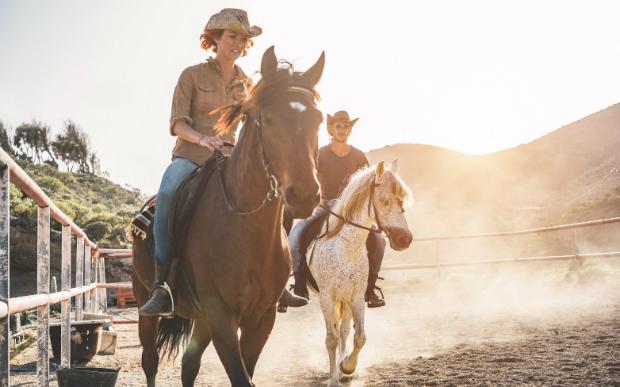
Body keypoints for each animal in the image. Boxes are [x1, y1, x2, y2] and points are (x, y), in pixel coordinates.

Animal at [131, 47, 324, 386]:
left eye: (318, 120)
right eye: (268, 119)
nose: (304, 194)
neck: (242, 224)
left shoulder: (261, 318)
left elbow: (245, 373)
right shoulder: (220, 315)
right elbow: (241, 377)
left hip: (202, 320)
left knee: (189, 364)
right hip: (147, 303)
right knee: (150, 360)